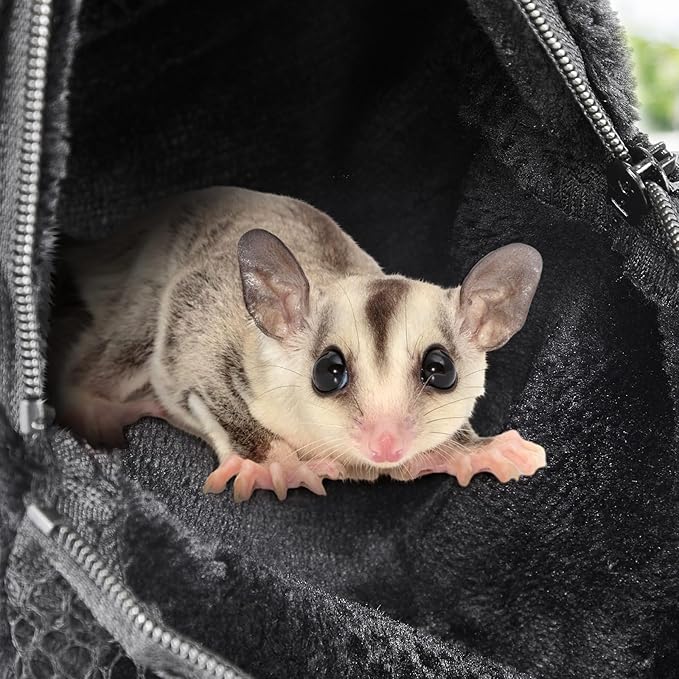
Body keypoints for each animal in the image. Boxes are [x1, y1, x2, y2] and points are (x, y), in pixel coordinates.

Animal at [52, 187, 545, 502]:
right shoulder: (203, 322)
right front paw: (271, 462)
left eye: (440, 371)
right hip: (137, 294)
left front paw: (475, 450)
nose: (386, 445)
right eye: (329, 372)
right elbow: (189, 362)